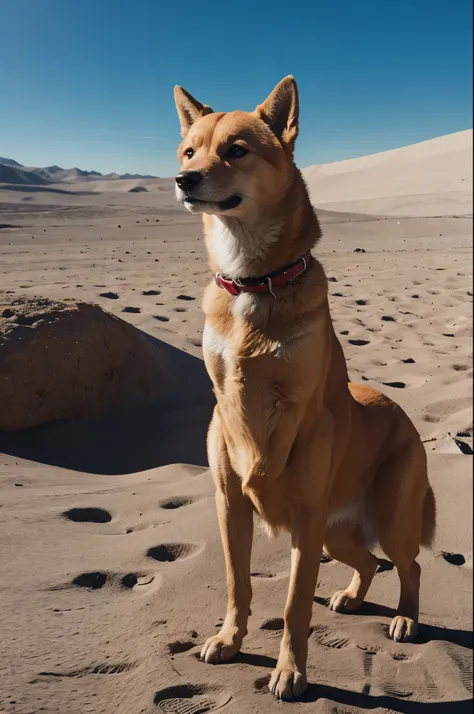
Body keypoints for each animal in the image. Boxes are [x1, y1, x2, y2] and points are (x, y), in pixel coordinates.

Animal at [172, 75, 436, 700]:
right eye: (190, 151)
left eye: (236, 150)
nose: (183, 180)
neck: (252, 281)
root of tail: (401, 410)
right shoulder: (230, 506)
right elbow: (238, 583)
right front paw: (230, 640)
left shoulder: (306, 511)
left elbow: (294, 606)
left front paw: (290, 670)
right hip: (336, 533)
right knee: (365, 563)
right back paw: (350, 596)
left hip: (385, 519)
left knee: (408, 565)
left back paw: (406, 618)